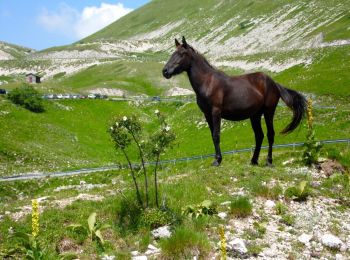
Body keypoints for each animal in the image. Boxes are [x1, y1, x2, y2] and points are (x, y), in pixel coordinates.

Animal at [162, 36, 306, 167]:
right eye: (172, 53)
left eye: (182, 54)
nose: (165, 71)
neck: (208, 82)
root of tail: (273, 83)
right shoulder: (207, 114)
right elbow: (212, 136)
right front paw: (216, 159)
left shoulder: (216, 112)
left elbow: (216, 135)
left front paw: (217, 160)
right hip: (255, 115)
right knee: (259, 136)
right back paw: (254, 161)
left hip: (268, 112)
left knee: (270, 134)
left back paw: (269, 162)